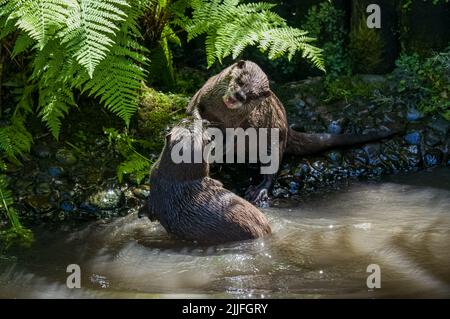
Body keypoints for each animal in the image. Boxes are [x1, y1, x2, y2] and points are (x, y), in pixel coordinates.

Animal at [186, 60, 398, 205]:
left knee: (272, 171)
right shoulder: (203, 92)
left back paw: (258, 191)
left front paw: (218, 150)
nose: (239, 95)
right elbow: (193, 109)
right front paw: (199, 124)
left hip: (275, 142)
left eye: (252, 96)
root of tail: (288, 128)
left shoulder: (241, 124)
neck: (222, 114)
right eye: (240, 81)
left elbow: (232, 139)